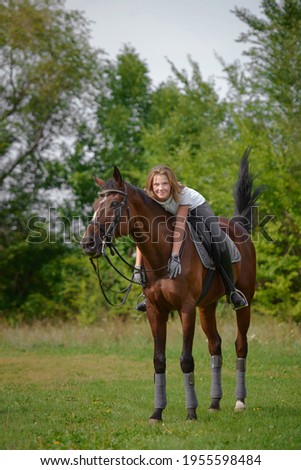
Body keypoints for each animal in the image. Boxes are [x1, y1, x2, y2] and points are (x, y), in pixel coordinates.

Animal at [81, 151, 264, 422]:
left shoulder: (186, 309)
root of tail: (238, 225)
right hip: (206, 307)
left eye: (113, 205)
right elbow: (159, 360)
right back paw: (214, 403)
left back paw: (239, 402)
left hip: (244, 303)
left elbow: (186, 360)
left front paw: (191, 413)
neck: (162, 253)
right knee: (215, 345)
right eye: (95, 207)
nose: (88, 244)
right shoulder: (156, 310)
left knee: (240, 344)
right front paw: (157, 413)